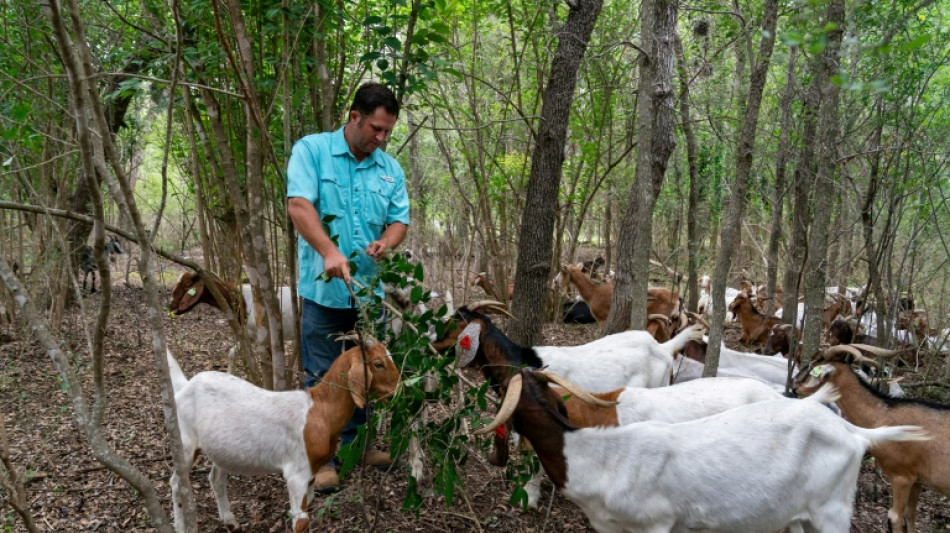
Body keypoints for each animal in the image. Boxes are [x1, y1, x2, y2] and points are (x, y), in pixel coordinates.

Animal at [167, 336, 398, 532]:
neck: (319, 411)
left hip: (221, 449)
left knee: (215, 478)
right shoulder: (297, 473)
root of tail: (185, 386)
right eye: (379, 364)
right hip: (184, 441)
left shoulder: (312, 472)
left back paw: (230, 521)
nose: (398, 391)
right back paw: (181, 526)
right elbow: (301, 523)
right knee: (177, 483)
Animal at [796, 342, 950, 528]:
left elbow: (894, 517)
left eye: (816, 363)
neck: (883, 415)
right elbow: (911, 515)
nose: (795, 384)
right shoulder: (918, 479)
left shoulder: (902, 477)